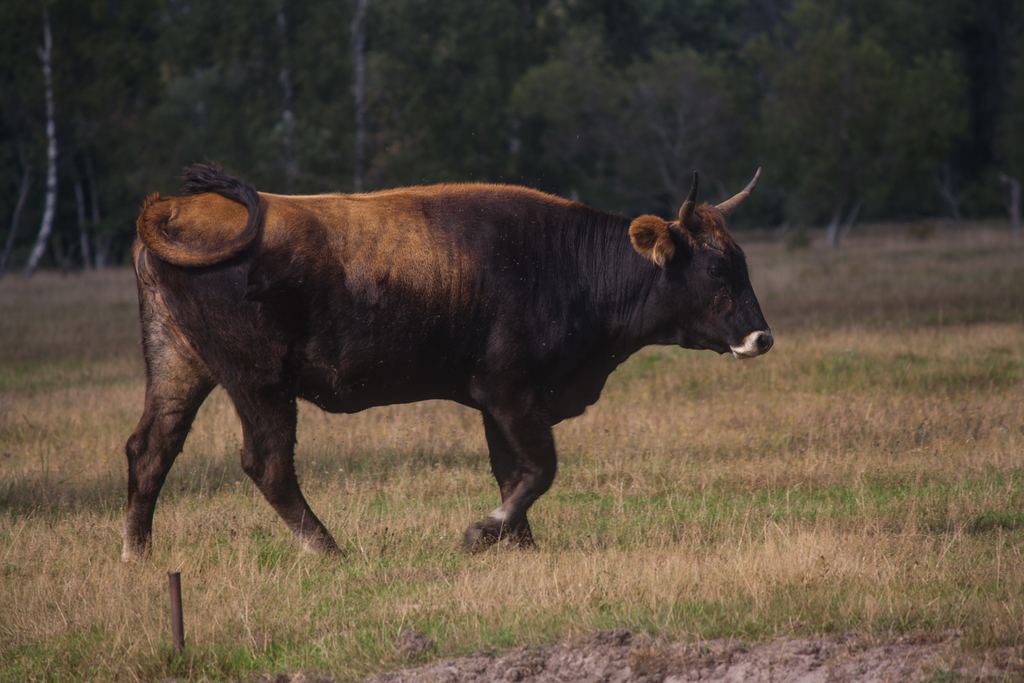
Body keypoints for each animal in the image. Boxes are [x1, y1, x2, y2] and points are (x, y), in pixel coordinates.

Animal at [122, 162, 772, 561]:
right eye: (717, 268)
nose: (761, 338)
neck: (563, 262)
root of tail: (174, 209)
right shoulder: (510, 391)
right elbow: (539, 469)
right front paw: (482, 532)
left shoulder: (500, 403)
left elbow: (512, 470)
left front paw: (519, 546)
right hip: (258, 381)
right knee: (268, 463)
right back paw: (330, 550)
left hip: (180, 364)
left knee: (151, 449)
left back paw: (138, 555)